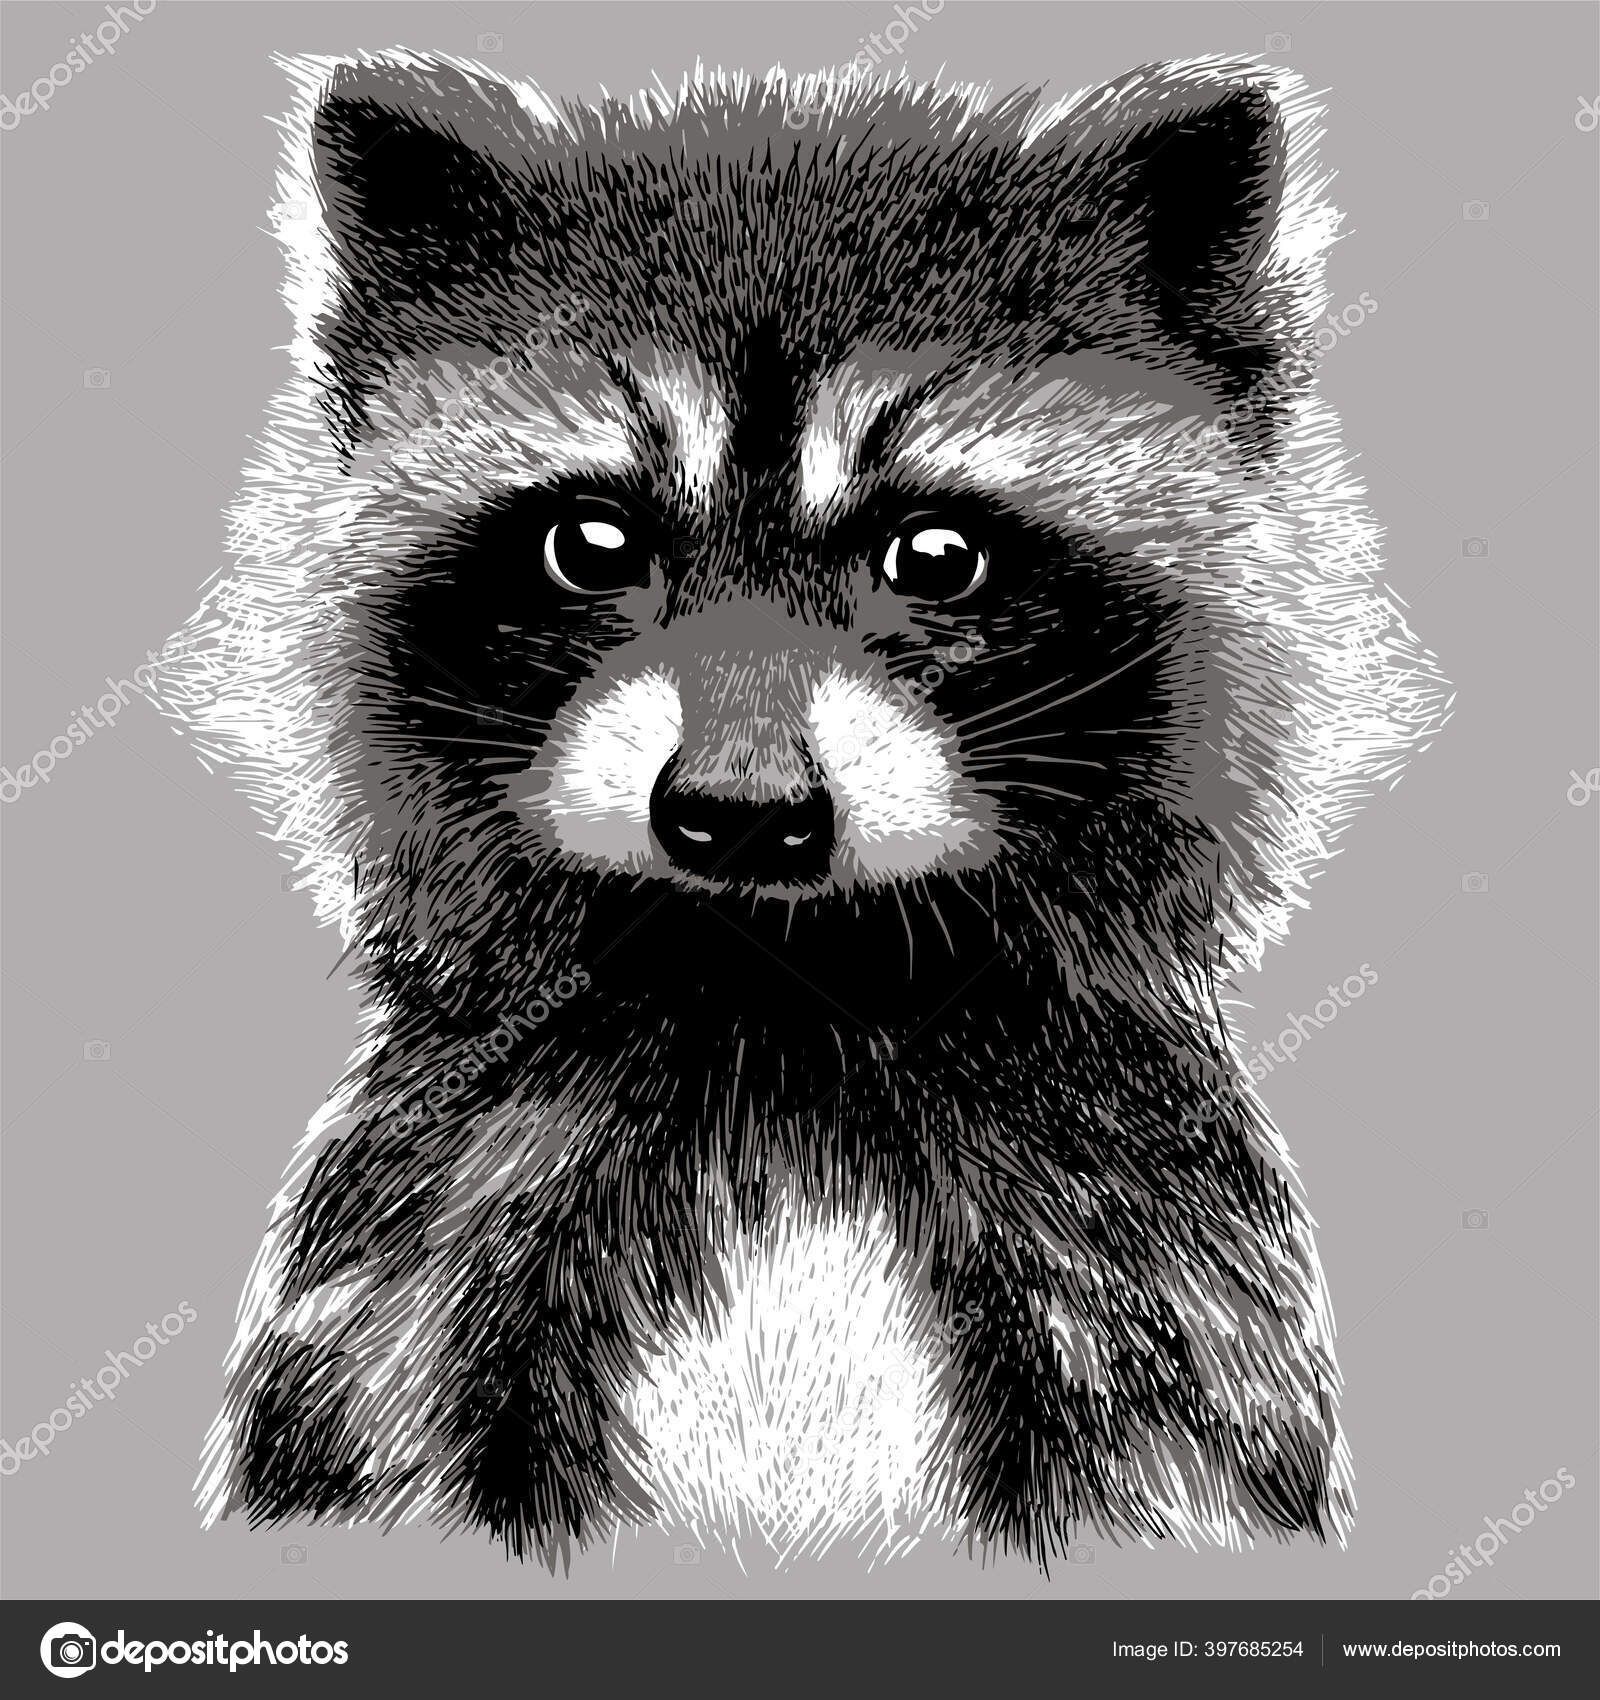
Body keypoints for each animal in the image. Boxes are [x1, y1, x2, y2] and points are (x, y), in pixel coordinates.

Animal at [161, 50, 1448, 1569]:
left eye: (935, 554)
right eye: (592, 541)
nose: (738, 810)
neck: (781, 1007)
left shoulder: (1147, 1264)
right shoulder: (428, 1248)